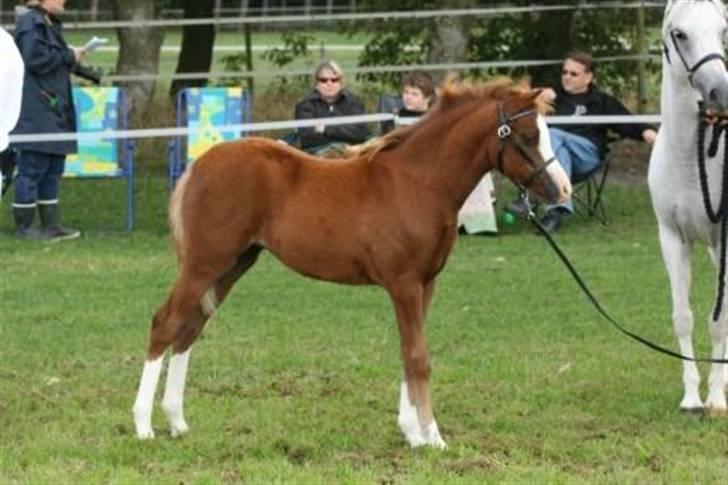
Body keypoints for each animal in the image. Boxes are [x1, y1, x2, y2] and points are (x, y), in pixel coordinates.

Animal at [132, 78, 572, 448]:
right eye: (529, 136)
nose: (562, 189)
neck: (418, 183)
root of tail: (198, 165)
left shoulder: (425, 283)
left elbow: (409, 351)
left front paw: (413, 432)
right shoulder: (404, 283)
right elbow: (419, 357)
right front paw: (432, 438)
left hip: (233, 265)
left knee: (190, 328)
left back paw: (177, 421)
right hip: (205, 262)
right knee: (165, 322)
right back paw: (143, 426)